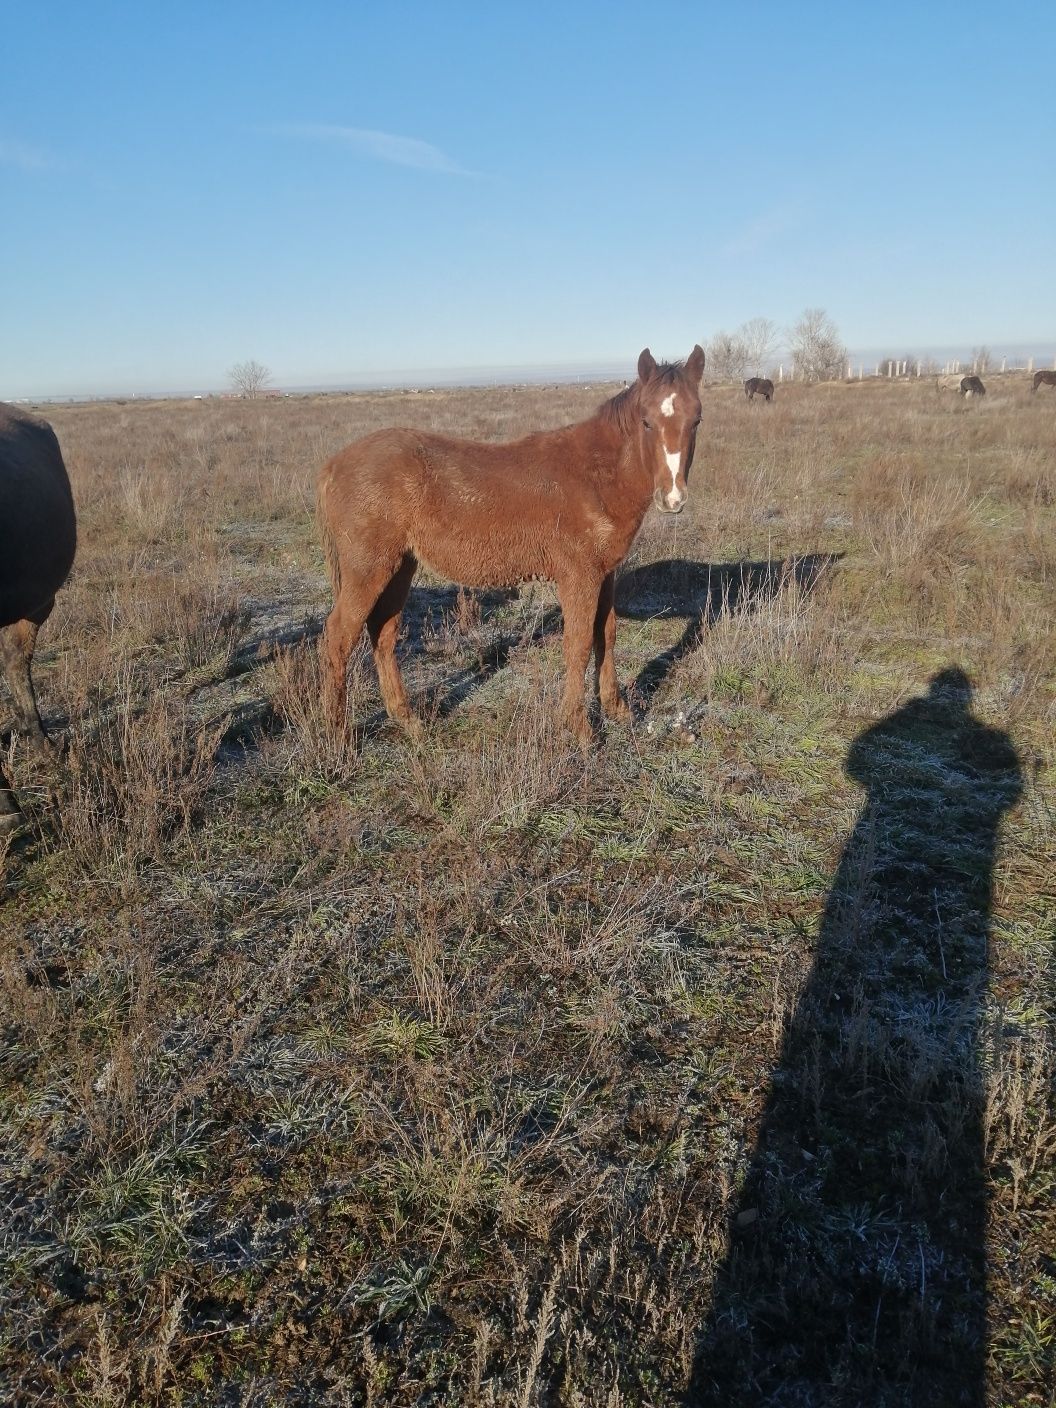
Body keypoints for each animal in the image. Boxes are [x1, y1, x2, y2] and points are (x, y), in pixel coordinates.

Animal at [318, 342, 706, 749]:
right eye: (646, 422)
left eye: (696, 420)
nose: (672, 499)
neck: (597, 475)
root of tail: (334, 465)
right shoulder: (578, 577)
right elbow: (579, 644)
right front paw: (580, 728)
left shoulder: (605, 575)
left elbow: (607, 635)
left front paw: (617, 710)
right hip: (369, 569)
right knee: (338, 638)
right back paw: (338, 736)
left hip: (400, 567)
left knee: (383, 634)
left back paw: (408, 721)